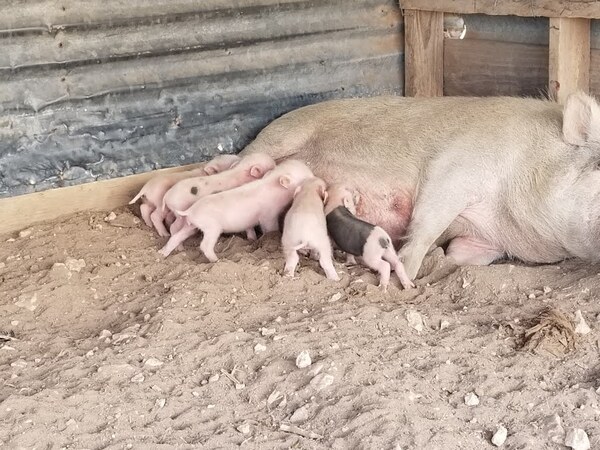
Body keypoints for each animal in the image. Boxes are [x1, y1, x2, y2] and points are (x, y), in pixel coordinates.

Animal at [238, 92, 600, 282]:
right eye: (598, 165)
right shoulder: (455, 168)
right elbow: (426, 225)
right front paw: (406, 275)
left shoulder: (487, 243)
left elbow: (459, 254)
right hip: (279, 138)